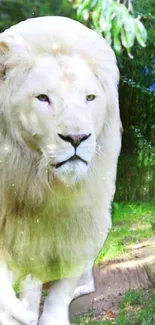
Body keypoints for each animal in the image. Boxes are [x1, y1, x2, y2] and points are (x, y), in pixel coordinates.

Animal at [0, 15, 121, 324]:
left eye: (90, 97)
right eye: (43, 98)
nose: (76, 138)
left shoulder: (80, 227)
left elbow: (59, 294)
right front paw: (18, 314)